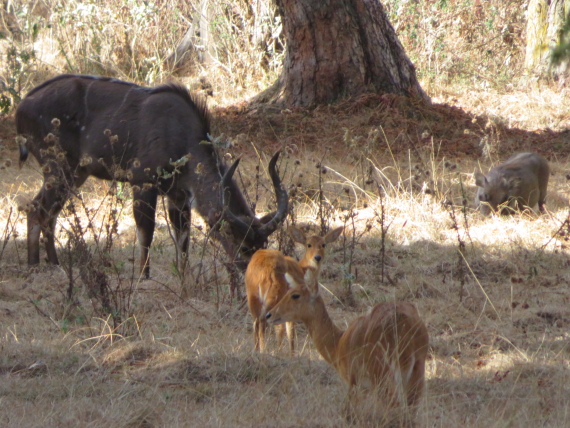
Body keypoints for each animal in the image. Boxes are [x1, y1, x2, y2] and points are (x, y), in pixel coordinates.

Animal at [16, 73, 288, 280]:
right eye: (242, 245)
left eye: (263, 245)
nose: (255, 275)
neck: (182, 137)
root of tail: (22, 107)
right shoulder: (142, 182)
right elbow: (145, 232)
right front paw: (143, 277)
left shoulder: (178, 195)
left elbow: (183, 238)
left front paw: (184, 275)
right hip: (58, 167)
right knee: (37, 208)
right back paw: (35, 266)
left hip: (75, 174)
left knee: (48, 212)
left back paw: (54, 264)